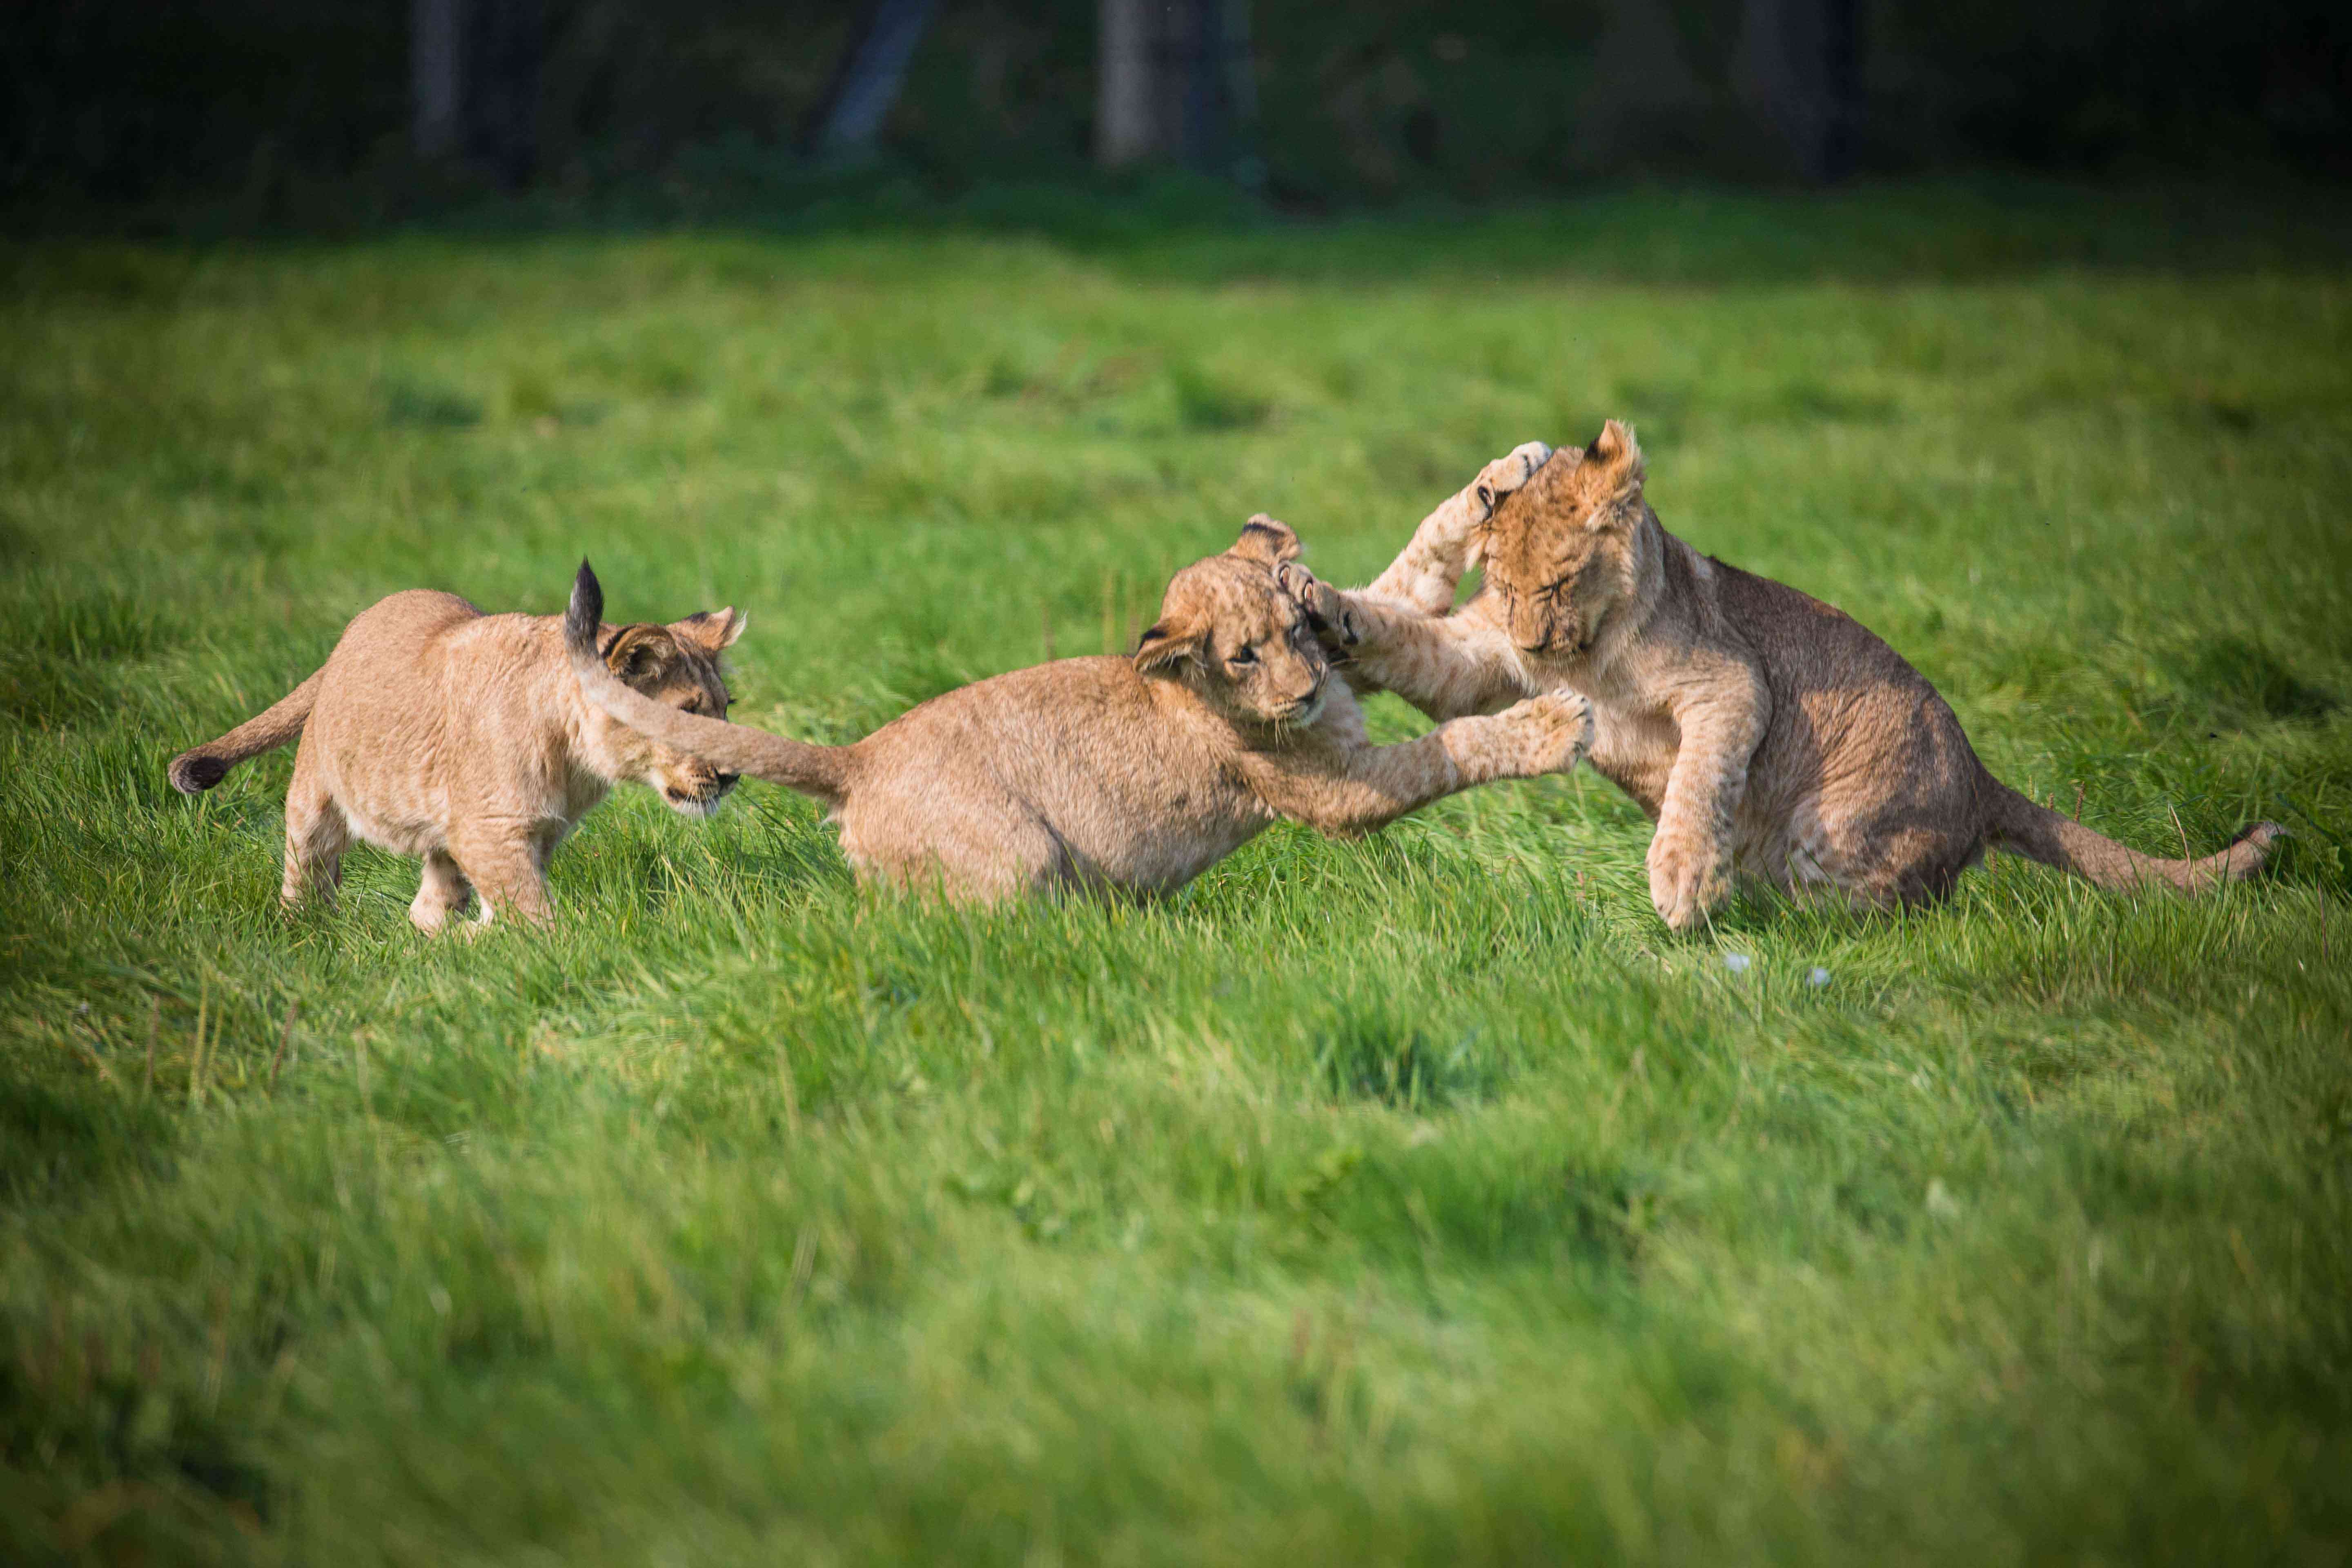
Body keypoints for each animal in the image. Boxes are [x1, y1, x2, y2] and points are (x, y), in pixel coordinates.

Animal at [167, 585, 744, 931]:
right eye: (689, 715)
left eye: (726, 708)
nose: (733, 775)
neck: (577, 761)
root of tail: (351, 632)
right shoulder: (490, 831)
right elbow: (536, 917)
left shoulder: (533, 831)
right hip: (317, 793)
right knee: (306, 868)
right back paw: (306, 929)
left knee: (426, 901)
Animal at [560, 515, 1594, 904]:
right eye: (1240, 657)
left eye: (1295, 630)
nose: (1303, 691)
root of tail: (857, 759)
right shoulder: (1333, 791)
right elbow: (1443, 750)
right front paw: (1556, 725)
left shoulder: (1352, 657)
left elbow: (1407, 575)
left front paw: (1506, 477)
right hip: (1016, 853)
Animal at [1295, 425, 2281, 930]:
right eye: (1498, 581)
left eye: (1562, 581)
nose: (1535, 649)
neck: (1590, 647)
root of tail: (1983, 778)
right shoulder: (1478, 660)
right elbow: (1408, 644)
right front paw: (1316, 605)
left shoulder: (1731, 682)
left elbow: (1701, 779)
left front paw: (1683, 880)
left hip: (1836, 828)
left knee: (1903, 909)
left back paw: (1783, 922)